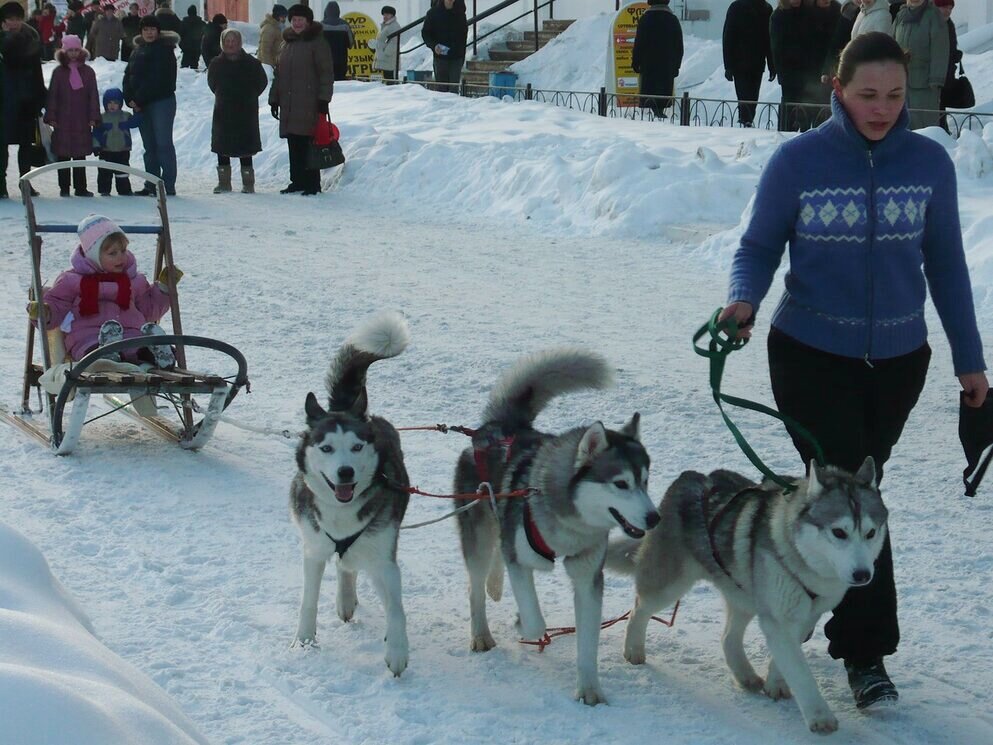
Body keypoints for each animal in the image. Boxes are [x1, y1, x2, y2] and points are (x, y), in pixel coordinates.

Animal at [286, 308, 410, 676]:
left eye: (356, 447)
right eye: (326, 448)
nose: (346, 472)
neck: (342, 513)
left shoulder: (385, 558)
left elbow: (396, 609)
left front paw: (397, 650)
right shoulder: (313, 551)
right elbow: (308, 601)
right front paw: (304, 641)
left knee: (351, 565)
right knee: (344, 564)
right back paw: (344, 599)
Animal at [456, 348, 660, 704]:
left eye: (646, 481)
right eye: (621, 484)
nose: (654, 518)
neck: (570, 525)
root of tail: (501, 426)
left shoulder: (588, 577)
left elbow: (588, 643)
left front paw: (589, 690)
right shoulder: (520, 560)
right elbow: (536, 621)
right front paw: (523, 623)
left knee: (497, 554)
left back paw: (496, 585)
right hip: (478, 534)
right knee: (477, 586)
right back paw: (481, 633)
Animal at [608, 460, 888, 732]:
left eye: (871, 533)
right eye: (839, 532)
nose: (863, 574)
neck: (802, 560)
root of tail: (689, 477)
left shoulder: (807, 614)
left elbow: (786, 657)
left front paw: (776, 682)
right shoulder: (779, 618)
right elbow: (800, 672)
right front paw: (820, 716)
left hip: (743, 595)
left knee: (728, 637)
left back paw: (745, 675)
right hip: (669, 585)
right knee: (639, 609)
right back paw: (633, 649)